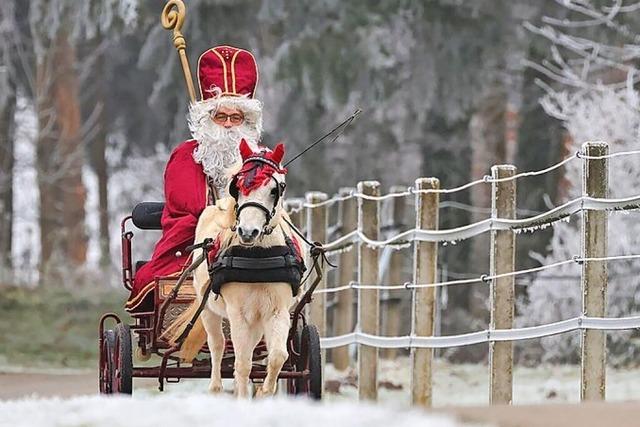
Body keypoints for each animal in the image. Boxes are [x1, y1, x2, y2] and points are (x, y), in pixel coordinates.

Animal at [165, 140, 304, 398]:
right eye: (236, 187)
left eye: (275, 189)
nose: (248, 232)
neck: (258, 257)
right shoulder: (238, 312)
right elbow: (242, 364)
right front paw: (243, 397)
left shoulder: (277, 310)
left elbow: (278, 357)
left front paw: (264, 392)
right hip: (208, 309)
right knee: (218, 345)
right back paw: (216, 387)